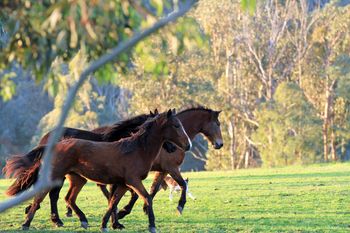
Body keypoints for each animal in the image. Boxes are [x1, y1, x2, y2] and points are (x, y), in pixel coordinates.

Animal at [4, 109, 190, 233]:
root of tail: (53, 145)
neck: (136, 149)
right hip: (56, 176)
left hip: (78, 179)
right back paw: (29, 223)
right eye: (176, 125)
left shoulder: (123, 184)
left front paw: (107, 224)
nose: (185, 146)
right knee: (42, 197)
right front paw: (152, 225)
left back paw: (82, 221)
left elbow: (113, 202)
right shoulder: (133, 181)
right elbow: (147, 198)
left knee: (68, 198)